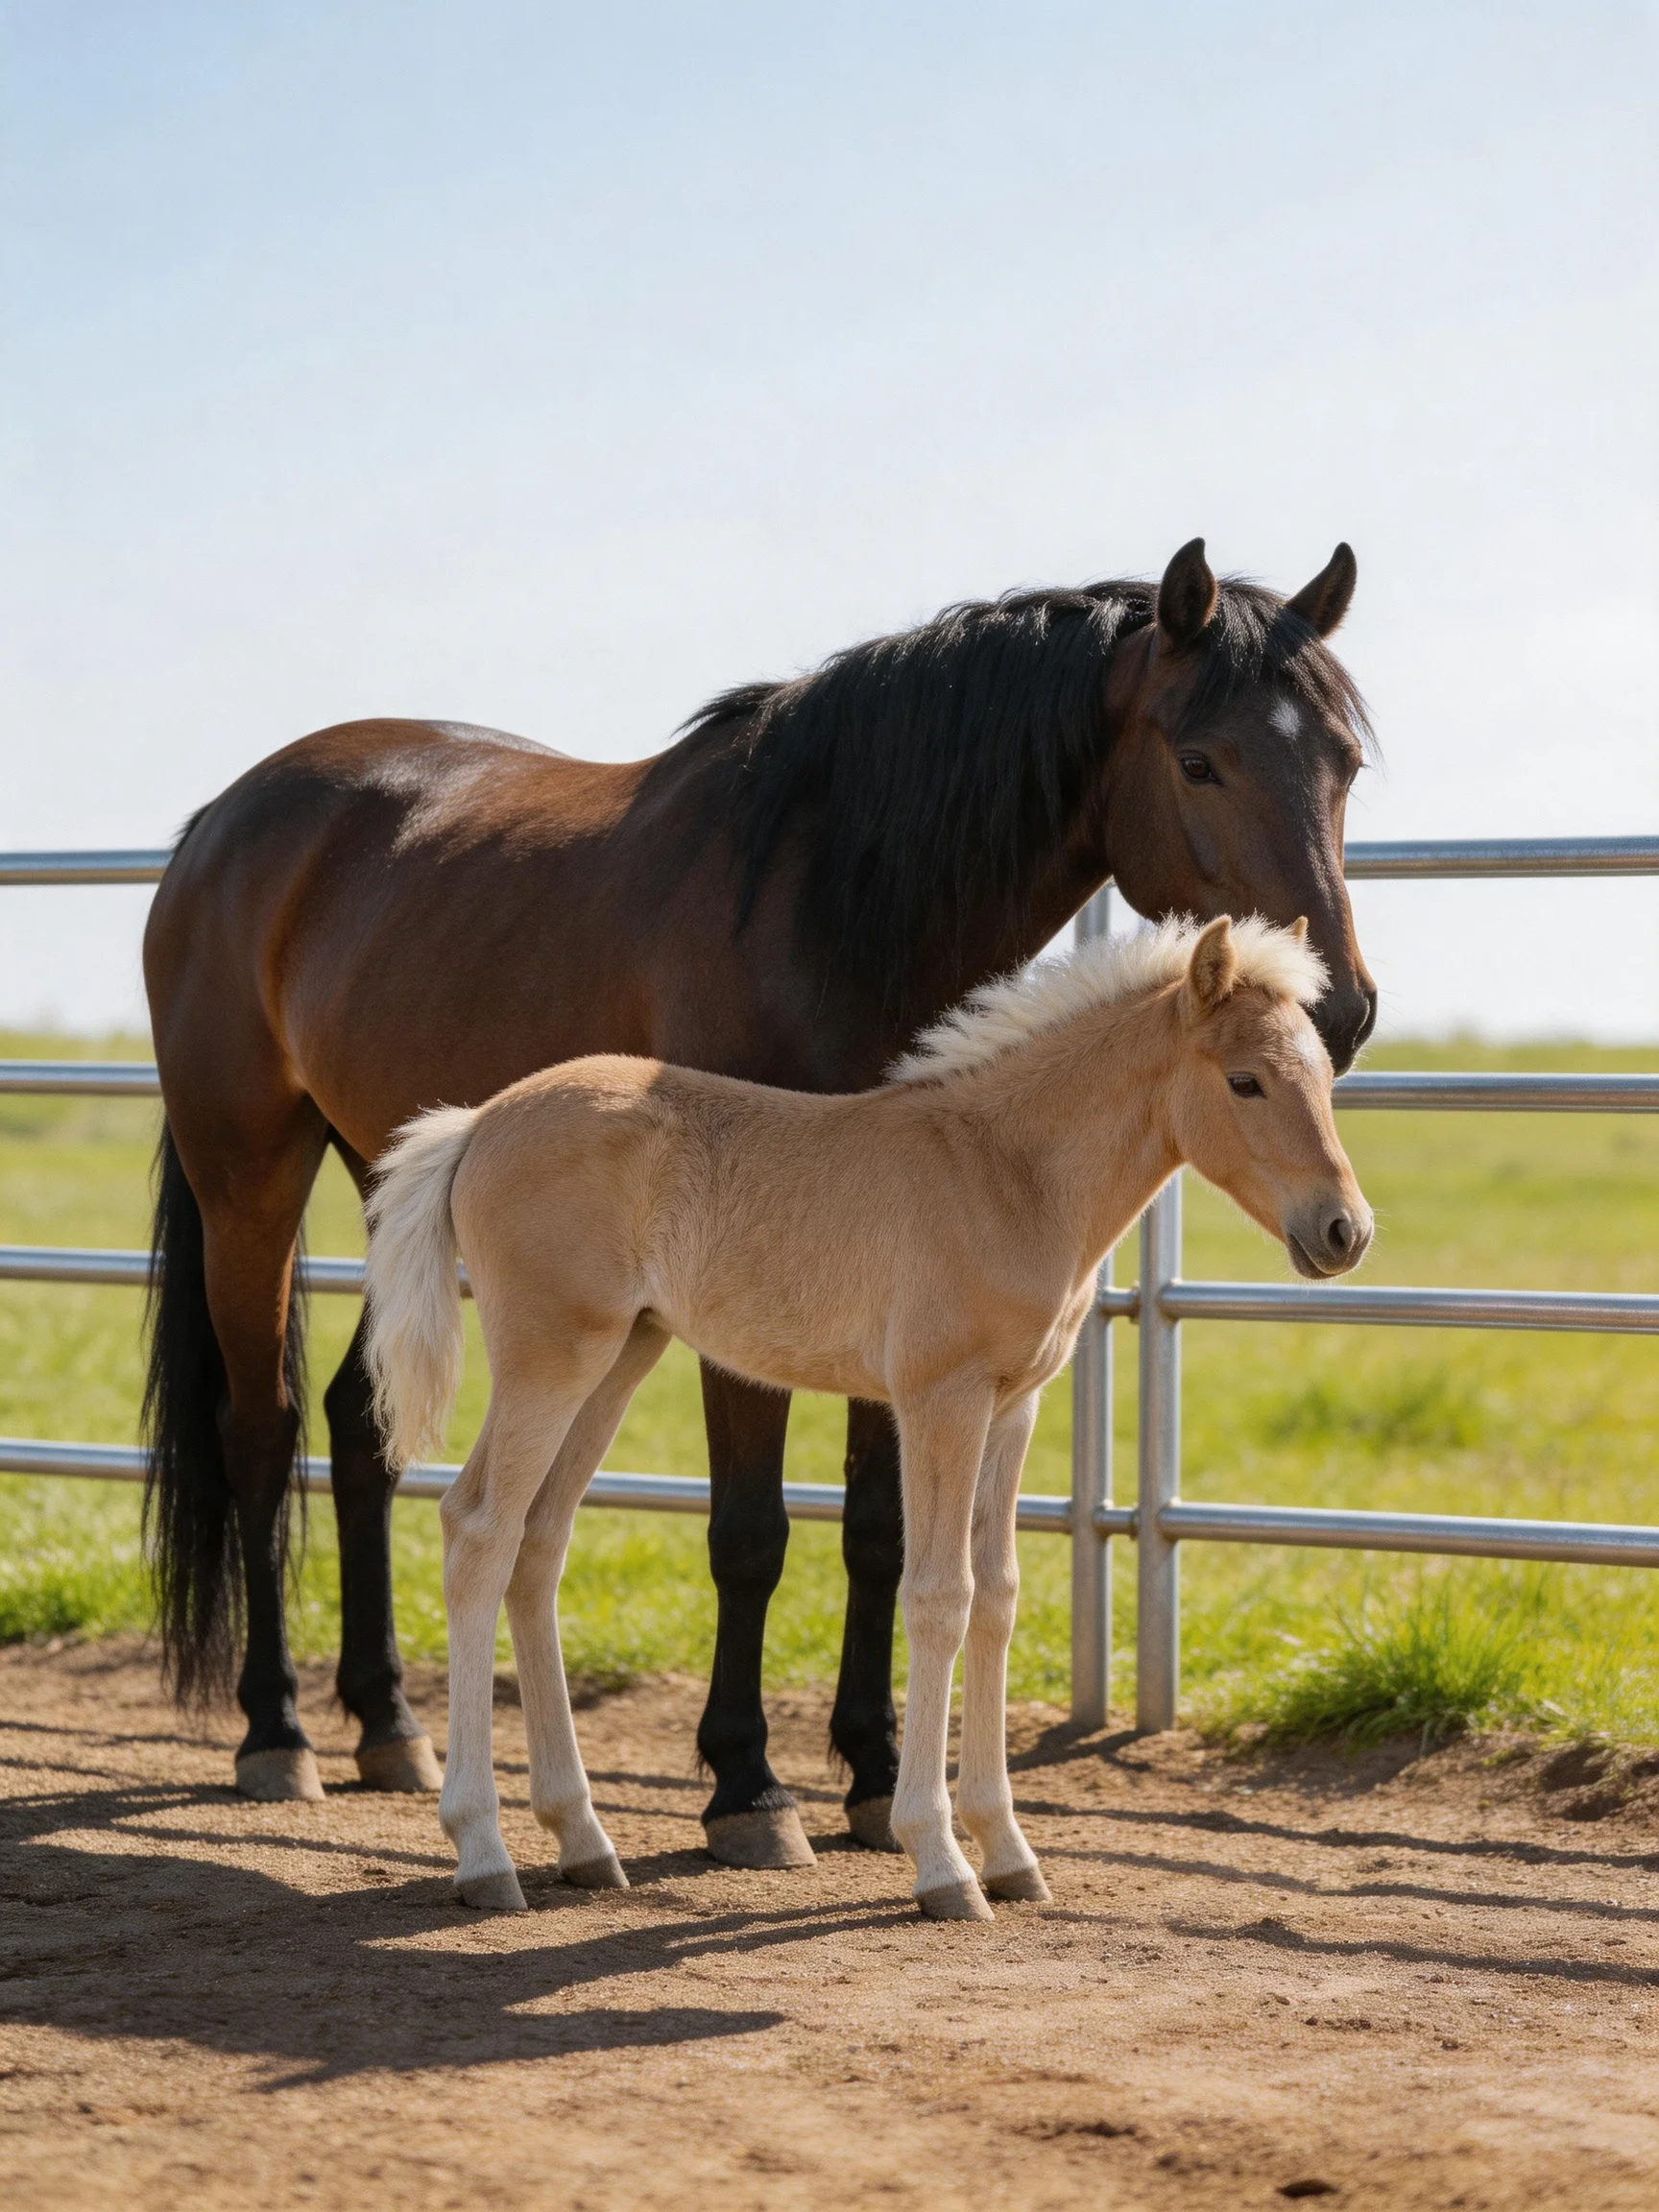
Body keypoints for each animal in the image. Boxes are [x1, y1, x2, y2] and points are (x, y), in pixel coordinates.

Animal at [362, 913, 1372, 1917]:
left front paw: (1010, 1852)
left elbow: (997, 1597)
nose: (1345, 1232)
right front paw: (942, 1861)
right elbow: (939, 1598)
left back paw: (583, 1839)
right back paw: (484, 1853)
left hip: (619, 1358)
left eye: (1325, 1077)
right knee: (480, 1529)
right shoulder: (940, 1399)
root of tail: (478, 1123)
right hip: (551, 1360)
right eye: (1244, 1080)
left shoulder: (1015, 1408)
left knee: (538, 1544)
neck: (1005, 1172)